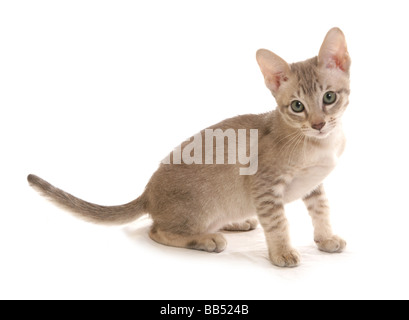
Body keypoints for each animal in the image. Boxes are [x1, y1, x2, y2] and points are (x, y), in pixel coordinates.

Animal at [27, 28, 350, 268]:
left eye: (329, 97)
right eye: (297, 106)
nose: (319, 124)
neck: (319, 143)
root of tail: (147, 193)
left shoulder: (314, 185)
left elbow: (321, 210)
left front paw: (325, 239)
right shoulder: (265, 187)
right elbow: (278, 223)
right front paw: (282, 252)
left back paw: (235, 224)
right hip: (198, 210)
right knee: (157, 230)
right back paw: (206, 239)